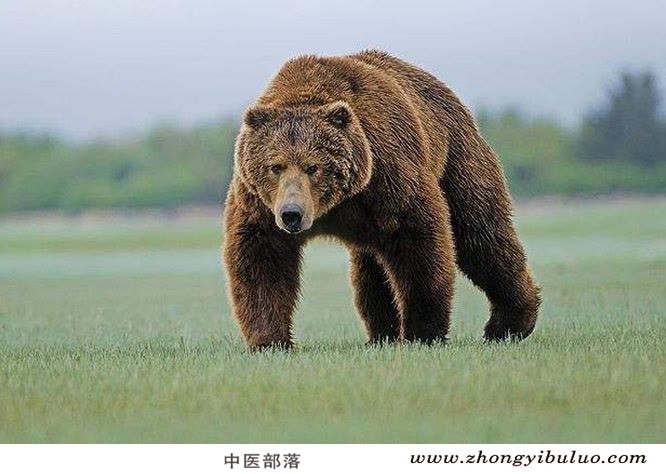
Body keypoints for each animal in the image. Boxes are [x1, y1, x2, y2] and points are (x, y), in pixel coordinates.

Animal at [223, 50, 540, 349]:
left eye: (313, 167)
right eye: (276, 166)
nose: (292, 213)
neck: (335, 205)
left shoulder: (388, 173)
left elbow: (419, 242)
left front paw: (422, 332)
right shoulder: (260, 204)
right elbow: (262, 259)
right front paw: (269, 340)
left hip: (457, 158)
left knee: (481, 234)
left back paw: (509, 323)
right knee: (371, 270)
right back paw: (382, 334)